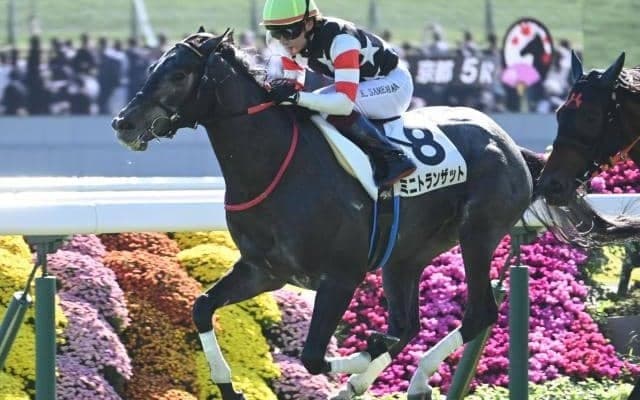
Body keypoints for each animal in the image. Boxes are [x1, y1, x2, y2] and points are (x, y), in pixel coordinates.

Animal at [110, 29, 595, 400]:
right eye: (152, 68)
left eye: (178, 73)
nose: (123, 123)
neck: (275, 167)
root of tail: (509, 143)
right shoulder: (263, 271)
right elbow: (201, 308)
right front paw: (229, 386)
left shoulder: (339, 278)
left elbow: (312, 356)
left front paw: (360, 357)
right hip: (405, 258)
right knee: (409, 323)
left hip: (478, 233)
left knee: (477, 314)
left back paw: (404, 377)